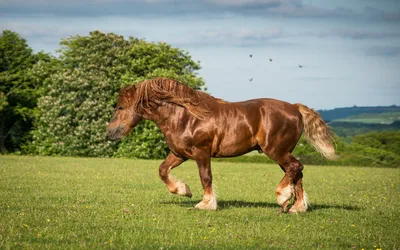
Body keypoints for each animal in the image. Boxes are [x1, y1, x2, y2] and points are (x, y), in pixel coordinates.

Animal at [104, 76, 336, 213]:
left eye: (121, 107)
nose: (110, 133)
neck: (185, 116)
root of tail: (295, 109)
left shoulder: (201, 153)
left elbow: (206, 177)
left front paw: (206, 203)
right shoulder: (179, 154)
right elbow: (162, 170)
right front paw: (183, 190)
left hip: (276, 151)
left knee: (296, 168)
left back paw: (283, 197)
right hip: (282, 152)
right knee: (297, 172)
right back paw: (297, 207)